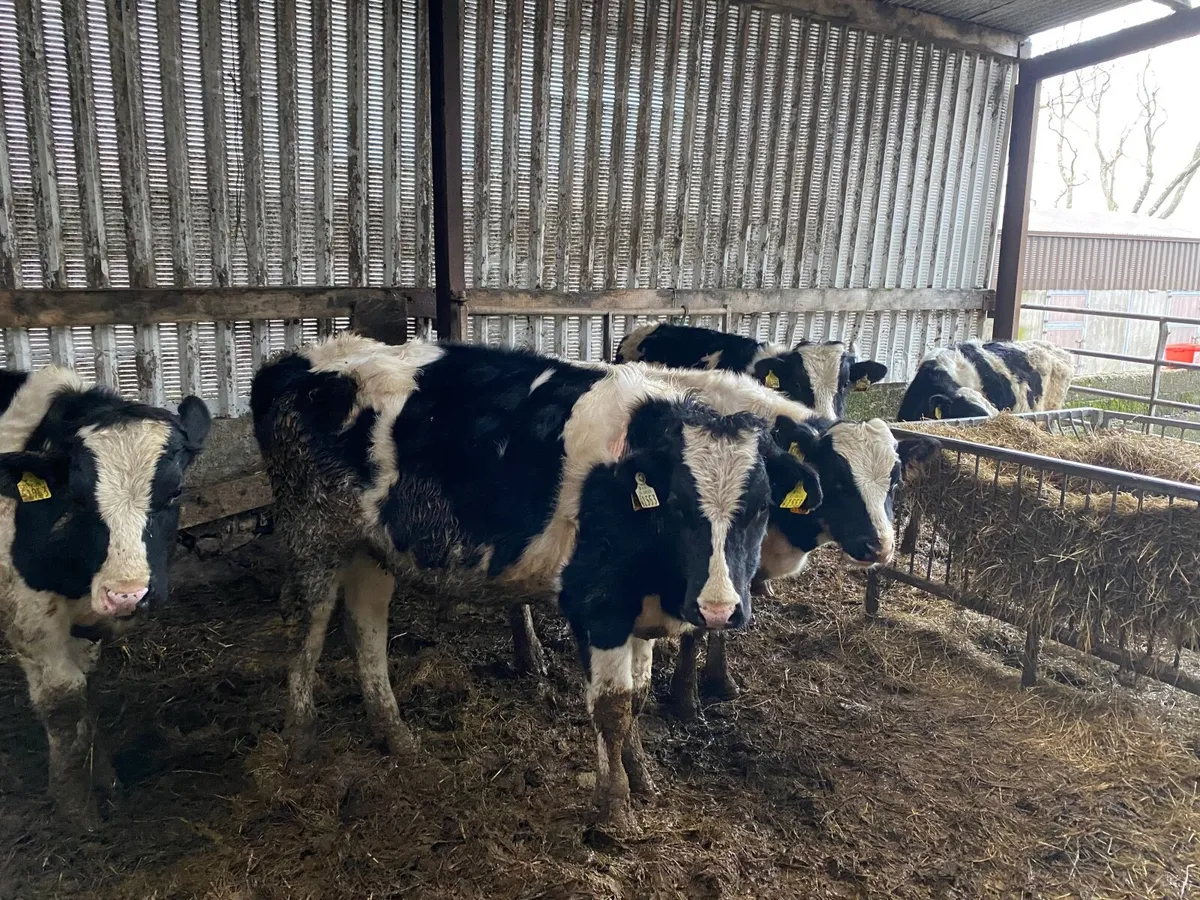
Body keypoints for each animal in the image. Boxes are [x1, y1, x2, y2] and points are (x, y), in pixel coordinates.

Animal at [0, 367, 211, 824]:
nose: (127, 595)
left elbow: (89, 696)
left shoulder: (90, 625)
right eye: (77, 497)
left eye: (175, 491)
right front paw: (75, 809)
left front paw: (106, 780)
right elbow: (64, 701)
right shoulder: (28, 618)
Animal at [250, 334, 822, 829]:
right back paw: (301, 740)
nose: (720, 610)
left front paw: (642, 778)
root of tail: (294, 359)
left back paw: (395, 734)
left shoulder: (639, 607)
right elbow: (612, 709)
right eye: (679, 507)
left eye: (762, 507)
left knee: (365, 625)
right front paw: (615, 809)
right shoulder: (598, 603)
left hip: (373, 546)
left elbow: (637, 698)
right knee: (306, 628)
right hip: (313, 532)